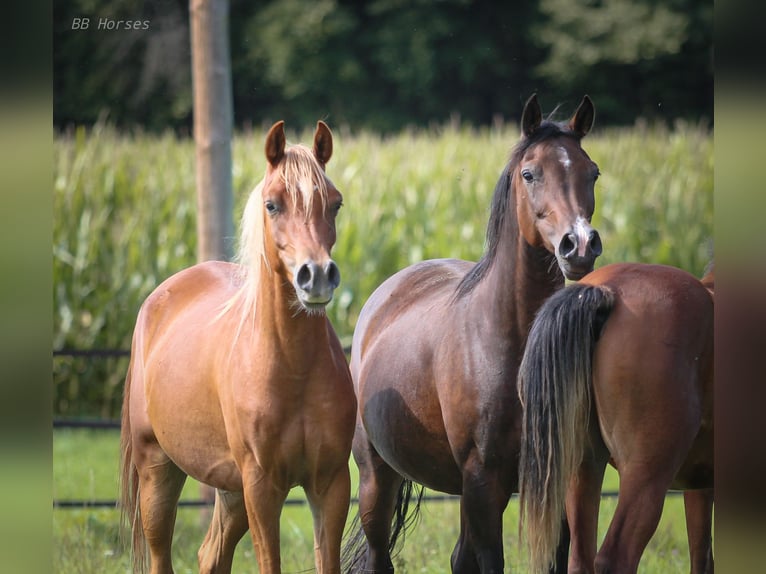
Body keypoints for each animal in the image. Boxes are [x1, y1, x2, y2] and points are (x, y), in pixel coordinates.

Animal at [119, 121, 356, 574]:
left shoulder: (331, 483)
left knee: (211, 555)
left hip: (230, 491)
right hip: (159, 470)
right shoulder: (262, 486)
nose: (317, 276)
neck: (293, 369)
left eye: (335, 204)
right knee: (161, 554)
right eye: (272, 205)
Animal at [342, 94, 602, 574]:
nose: (578, 245)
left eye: (591, 171)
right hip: (376, 479)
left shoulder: (554, 478)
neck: (511, 344)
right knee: (380, 554)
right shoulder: (484, 481)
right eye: (529, 173)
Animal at [518, 262, 714, 574]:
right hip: (646, 476)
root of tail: (606, 292)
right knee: (616, 556)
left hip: (584, 468)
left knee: (581, 558)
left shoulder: (699, 486)